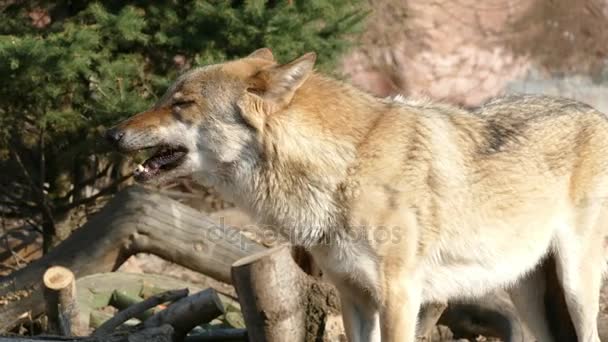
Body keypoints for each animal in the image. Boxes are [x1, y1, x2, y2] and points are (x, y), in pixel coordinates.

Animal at [105, 48, 608, 342]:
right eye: (166, 97)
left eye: (181, 104)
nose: (111, 134)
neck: (346, 167)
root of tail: (596, 113)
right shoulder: (353, 297)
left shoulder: (401, 296)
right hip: (526, 292)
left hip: (576, 286)